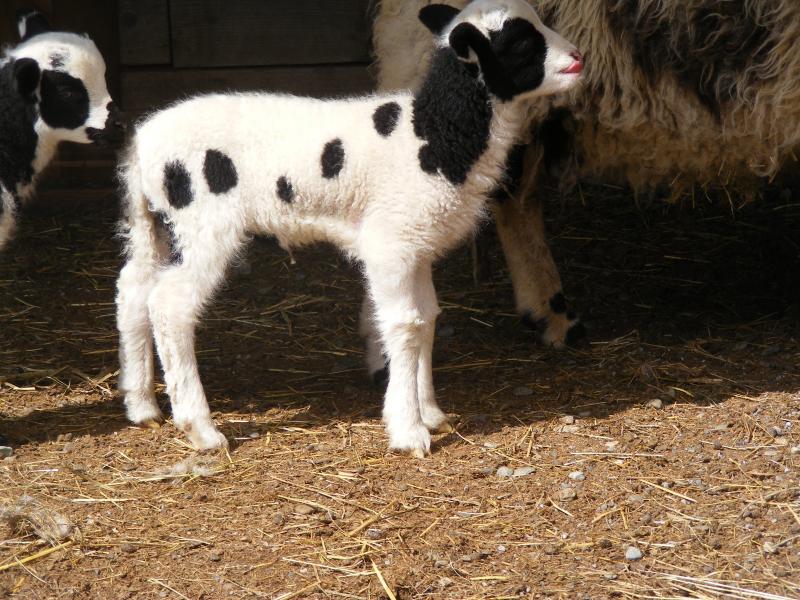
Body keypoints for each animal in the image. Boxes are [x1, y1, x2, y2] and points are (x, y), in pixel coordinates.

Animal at [115, 0, 584, 456]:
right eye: (520, 42)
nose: (578, 59)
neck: (434, 136)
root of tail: (142, 144)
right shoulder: (388, 245)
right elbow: (404, 325)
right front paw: (408, 430)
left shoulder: (415, 243)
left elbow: (427, 319)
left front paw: (430, 412)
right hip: (204, 224)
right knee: (171, 306)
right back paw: (200, 428)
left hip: (156, 225)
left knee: (133, 290)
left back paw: (142, 406)